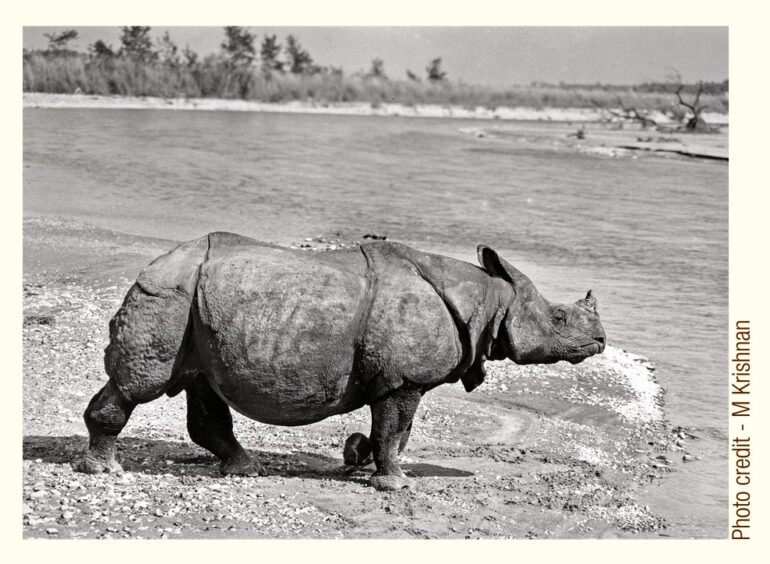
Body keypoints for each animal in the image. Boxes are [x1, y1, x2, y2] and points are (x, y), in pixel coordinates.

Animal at [74, 233, 606, 490]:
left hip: (196, 305)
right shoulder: (403, 380)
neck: (490, 300)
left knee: (201, 385)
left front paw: (356, 457)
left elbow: (392, 430)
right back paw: (104, 472)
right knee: (140, 383)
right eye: (559, 318)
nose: (600, 340)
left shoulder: (396, 380)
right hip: (169, 295)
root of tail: (156, 263)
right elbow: (394, 429)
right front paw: (395, 484)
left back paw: (244, 470)